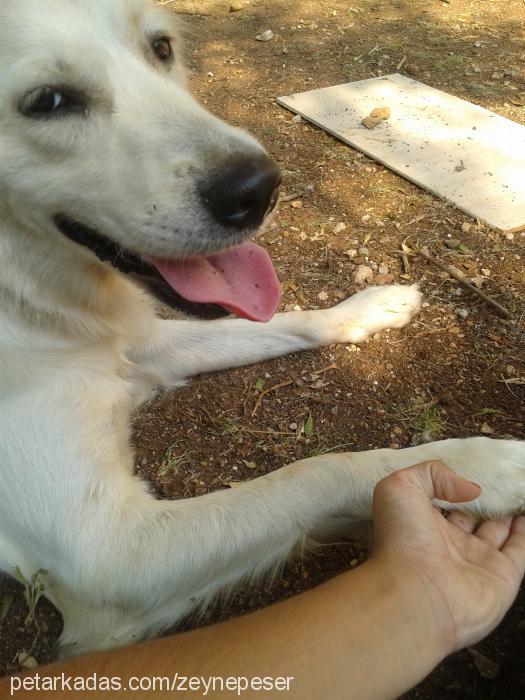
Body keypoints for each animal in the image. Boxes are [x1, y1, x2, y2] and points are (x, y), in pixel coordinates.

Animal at [0, 0, 520, 656]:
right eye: (46, 101)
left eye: (161, 48)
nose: (261, 189)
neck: (26, 296)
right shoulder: (108, 557)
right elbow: (319, 470)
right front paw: (484, 467)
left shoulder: (142, 349)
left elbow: (283, 324)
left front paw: (371, 307)